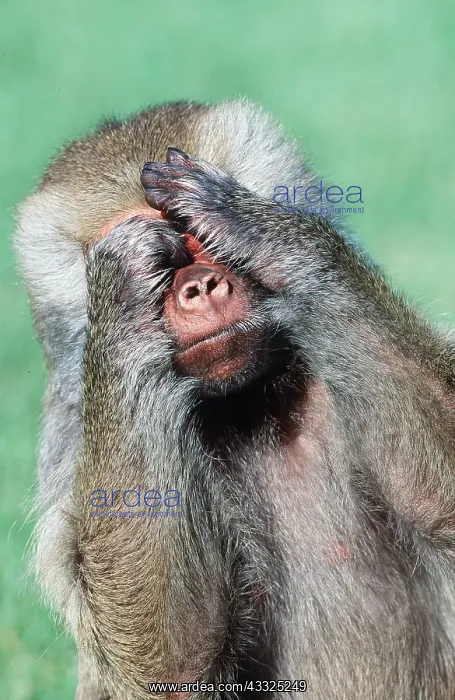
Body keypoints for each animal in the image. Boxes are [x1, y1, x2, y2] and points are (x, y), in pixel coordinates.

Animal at [14, 99, 455, 700]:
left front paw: (254, 227)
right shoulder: (71, 434)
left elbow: (438, 501)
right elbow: (175, 662)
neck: (247, 404)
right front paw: (123, 275)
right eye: (164, 262)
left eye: (195, 238)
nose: (199, 287)